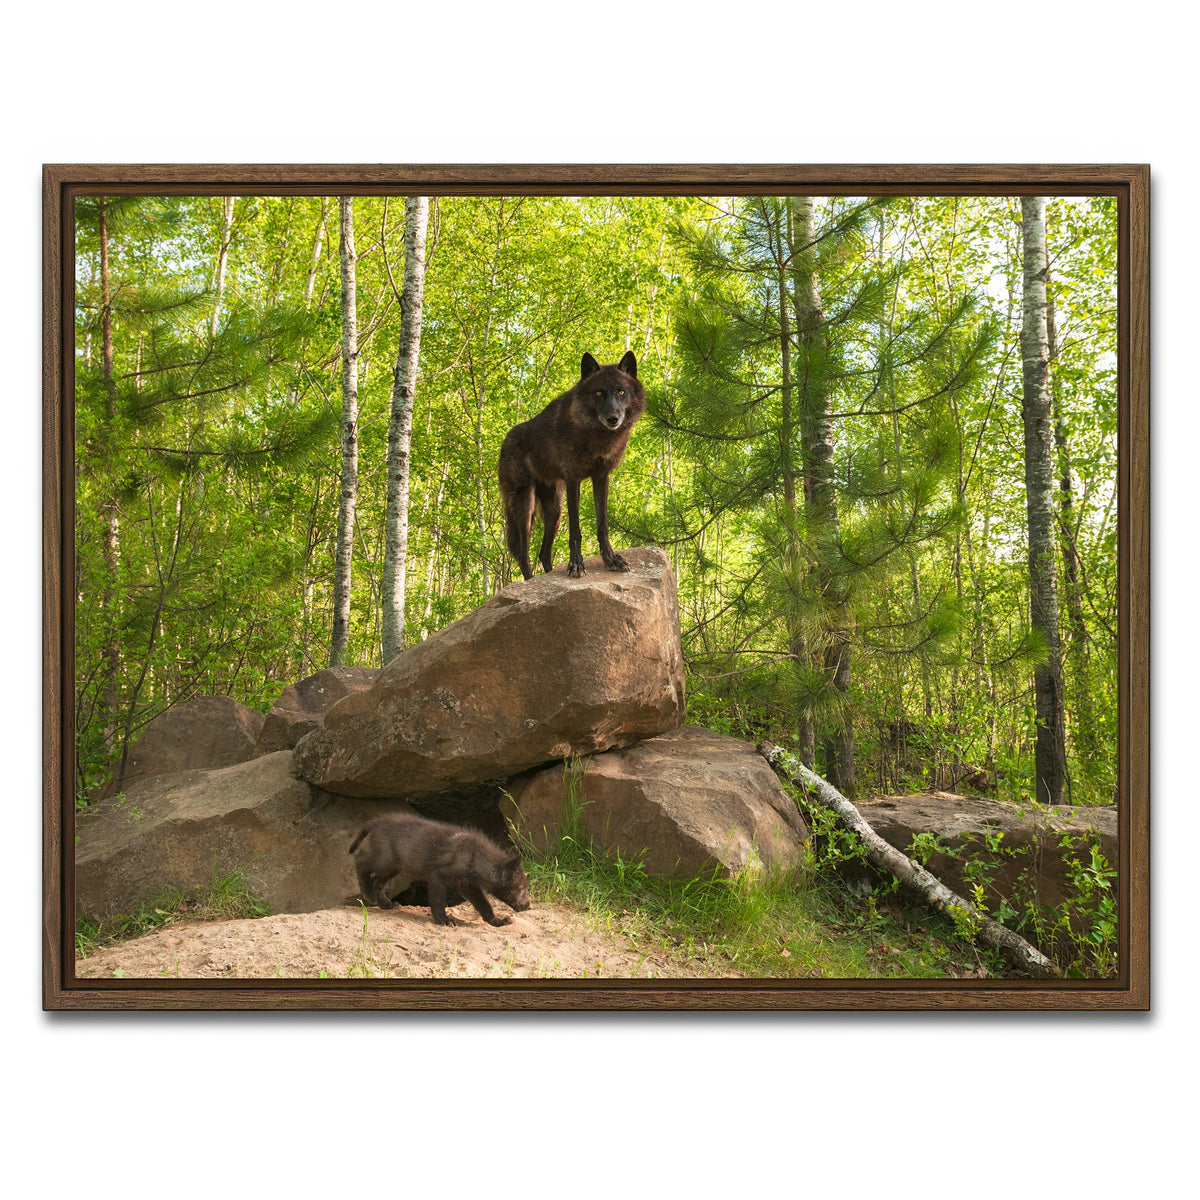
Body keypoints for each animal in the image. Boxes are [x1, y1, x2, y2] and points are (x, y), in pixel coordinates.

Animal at [348, 813, 532, 927]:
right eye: (521, 888)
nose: (528, 906)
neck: (474, 857)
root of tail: (376, 822)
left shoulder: (467, 885)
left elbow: (484, 905)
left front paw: (497, 921)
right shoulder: (437, 876)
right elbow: (438, 901)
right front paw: (443, 921)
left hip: (395, 867)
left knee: (378, 881)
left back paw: (386, 904)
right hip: (386, 860)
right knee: (361, 863)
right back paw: (368, 894)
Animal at [498, 350, 647, 580]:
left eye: (621, 391)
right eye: (598, 393)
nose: (613, 418)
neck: (597, 436)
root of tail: (505, 441)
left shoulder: (601, 477)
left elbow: (602, 524)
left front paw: (610, 559)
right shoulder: (572, 480)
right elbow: (576, 530)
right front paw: (576, 565)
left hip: (554, 511)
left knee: (543, 553)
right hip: (525, 508)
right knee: (523, 554)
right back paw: (529, 582)